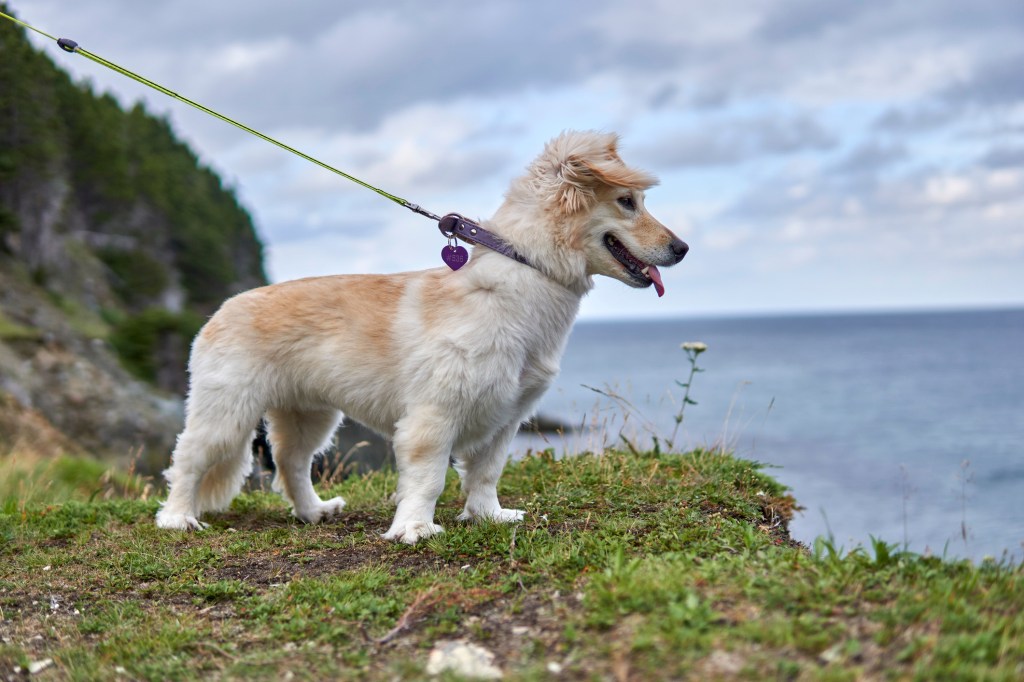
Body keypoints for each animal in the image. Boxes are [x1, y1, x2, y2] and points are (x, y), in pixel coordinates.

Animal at [155, 129, 688, 540]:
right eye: (627, 202)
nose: (682, 249)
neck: (523, 278)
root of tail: (223, 309)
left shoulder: (506, 416)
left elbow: (486, 473)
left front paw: (489, 516)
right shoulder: (434, 417)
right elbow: (429, 478)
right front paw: (414, 528)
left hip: (310, 416)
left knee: (291, 464)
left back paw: (313, 511)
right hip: (226, 414)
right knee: (188, 461)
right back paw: (178, 518)